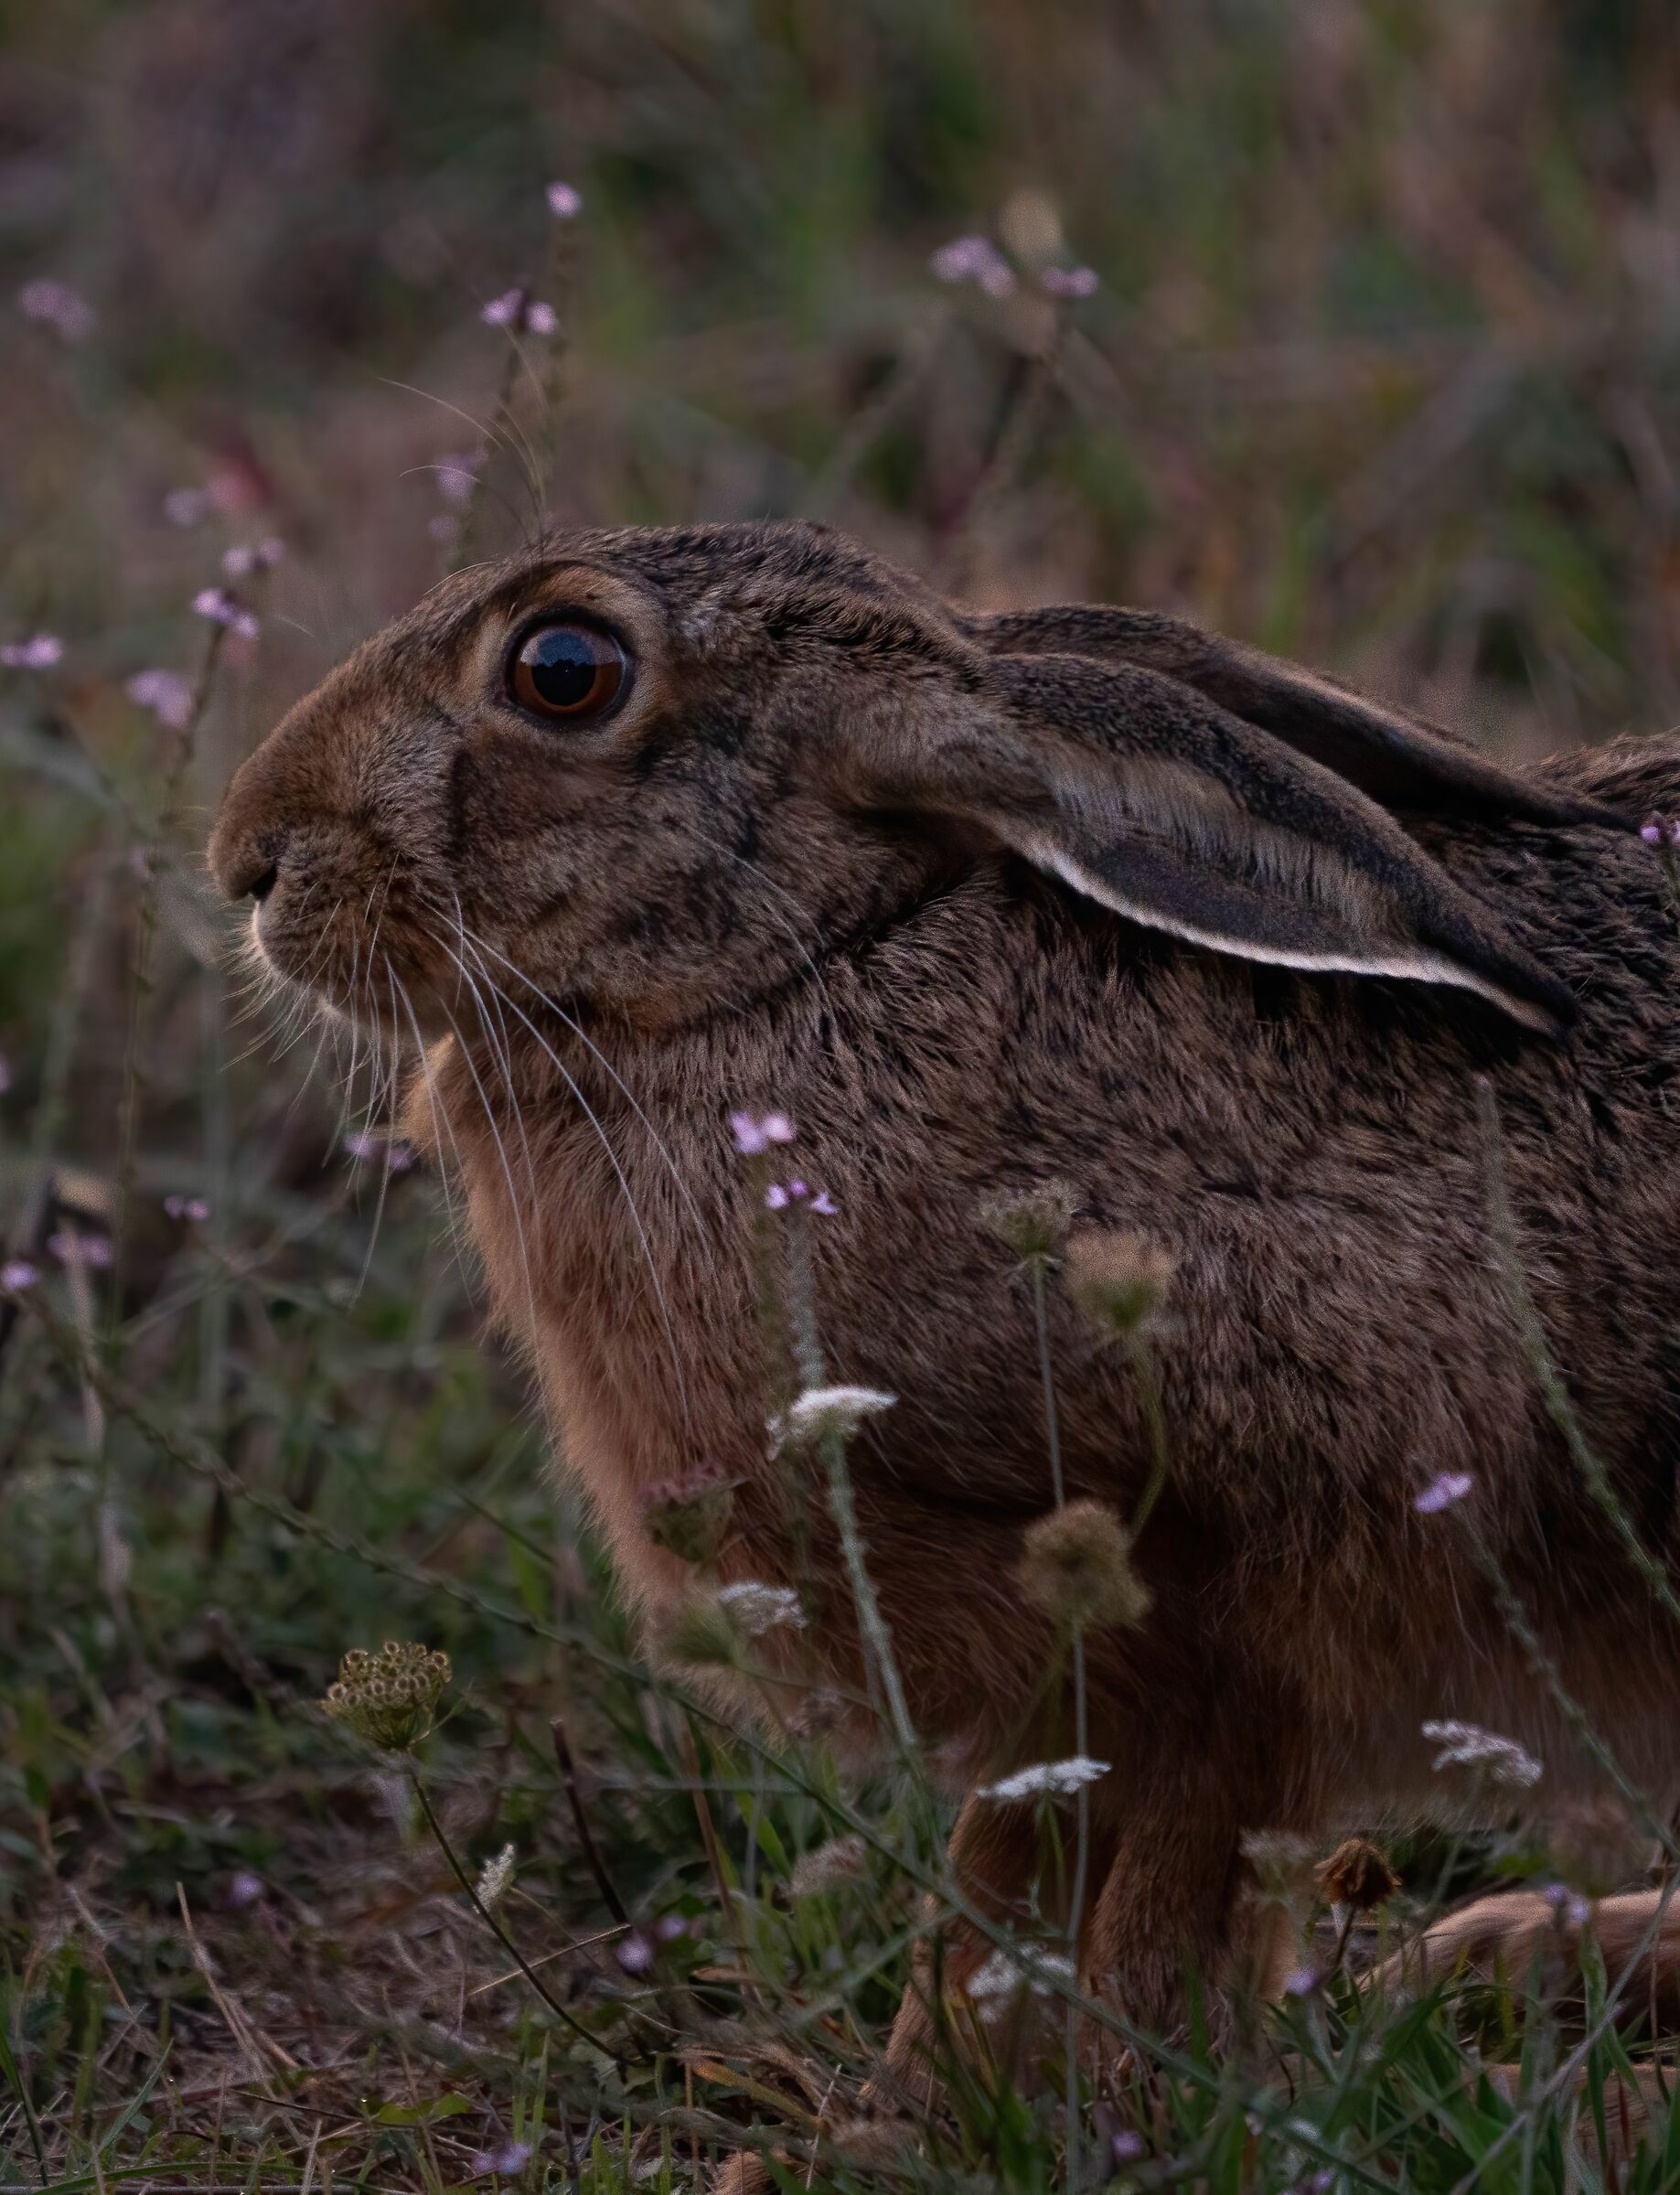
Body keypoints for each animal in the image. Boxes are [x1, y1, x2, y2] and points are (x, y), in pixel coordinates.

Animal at [210, 518, 1680, 2081]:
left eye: (562, 670)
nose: (249, 858)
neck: (805, 974)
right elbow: (1011, 1886)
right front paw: (934, 2096)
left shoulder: (1236, 1606)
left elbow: (1128, 1905)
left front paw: (1014, 2103)